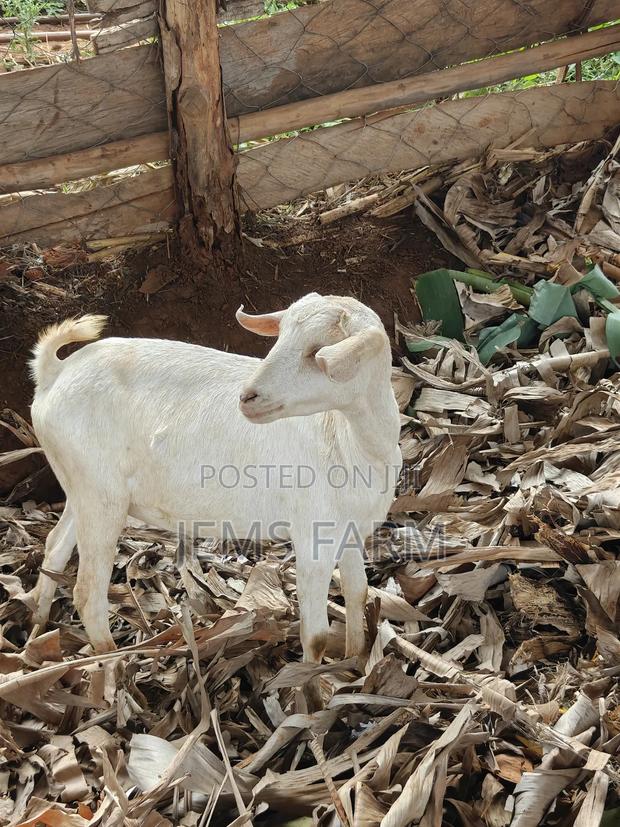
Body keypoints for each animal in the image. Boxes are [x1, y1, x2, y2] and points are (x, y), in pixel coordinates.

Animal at [29, 293, 402, 663]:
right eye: (280, 337)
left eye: (319, 350)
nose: (248, 396)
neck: (347, 439)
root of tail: (55, 373)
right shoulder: (312, 535)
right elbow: (316, 637)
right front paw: (312, 678)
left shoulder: (351, 530)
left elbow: (357, 592)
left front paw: (356, 662)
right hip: (99, 494)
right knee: (87, 593)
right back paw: (110, 661)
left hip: (81, 485)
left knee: (56, 546)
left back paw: (37, 633)